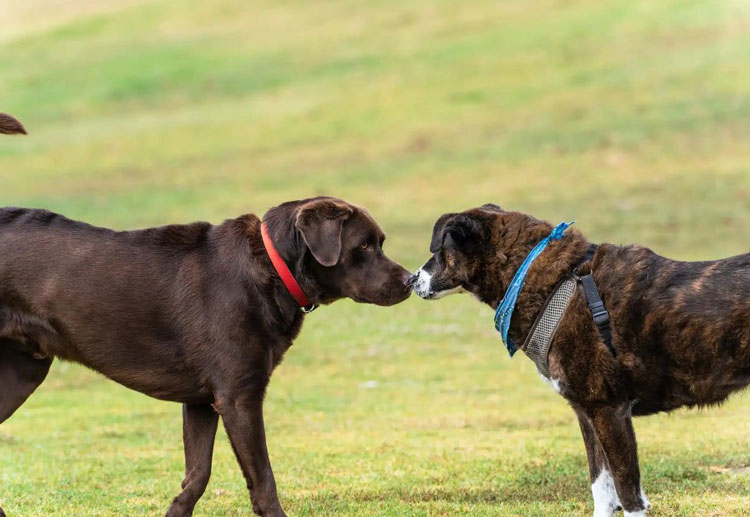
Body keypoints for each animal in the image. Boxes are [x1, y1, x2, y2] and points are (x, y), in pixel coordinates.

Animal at [0, 198, 412, 516]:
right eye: (364, 246)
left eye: (380, 243)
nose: (410, 280)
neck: (272, 268)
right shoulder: (238, 398)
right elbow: (263, 479)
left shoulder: (201, 401)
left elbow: (197, 474)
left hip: (23, 372)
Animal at [412, 204, 750, 516]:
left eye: (441, 251)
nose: (411, 280)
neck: (554, 283)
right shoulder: (587, 413)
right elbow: (602, 489)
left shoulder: (608, 410)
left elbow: (628, 495)